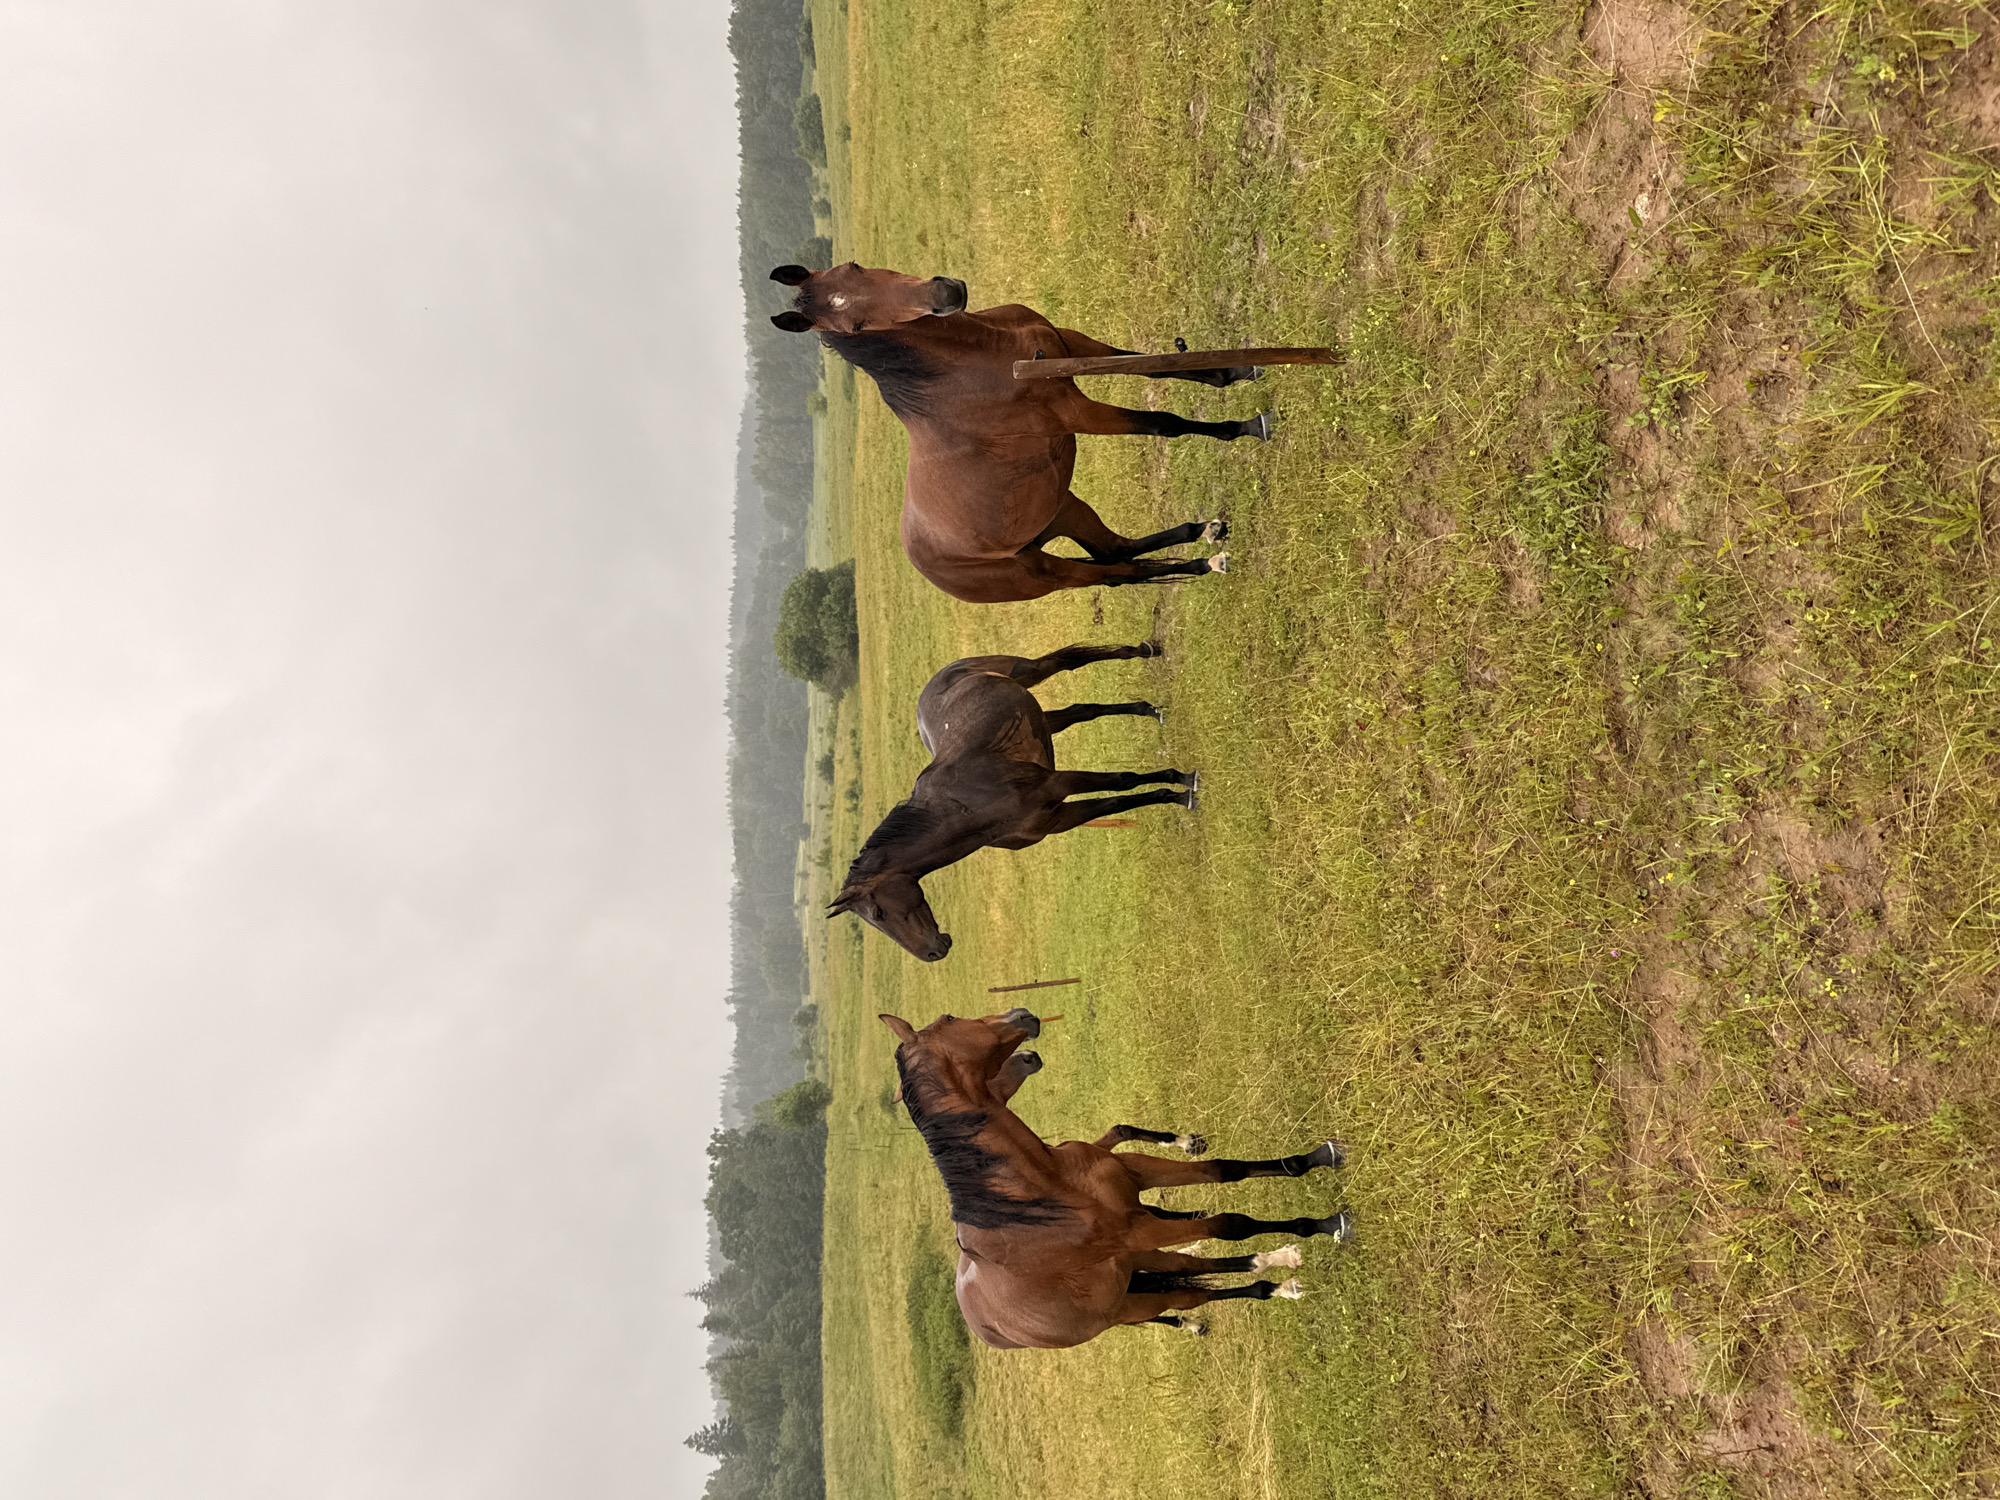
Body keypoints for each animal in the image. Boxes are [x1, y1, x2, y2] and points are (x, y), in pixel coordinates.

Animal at [769, 261, 1268, 603]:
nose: (944, 292)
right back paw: (1206, 559)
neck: (983, 357)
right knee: (1116, 570)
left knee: (1114, 548)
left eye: (852, 266)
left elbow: (1153, 365)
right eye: (856, 325)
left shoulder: (1071, 345)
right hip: (1049, 571)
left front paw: (1235, 371)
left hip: (1063, 508)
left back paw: (1203, 533)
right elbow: (1165, 423)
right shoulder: (1075, 413)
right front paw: (1247, 426)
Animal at [830, 641, 1193, 962]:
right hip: (1044, 719)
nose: (932, 954)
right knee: (1082, 711)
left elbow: (1124, 780)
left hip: (1027, 671)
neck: (968, 809)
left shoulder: (1057, 784)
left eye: (878, 913)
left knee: (1068, 661)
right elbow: (1119, 802)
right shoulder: (1059, 817)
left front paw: (1185, 783)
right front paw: (1177, 794)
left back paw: (1145, 651)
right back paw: (1149, 709)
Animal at [883, 1006, 1352, 1346]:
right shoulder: (1140, 1232)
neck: (1044, 1191)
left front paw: (1319, 1163)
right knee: (1195, 1291)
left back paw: (1273, 1275)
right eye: (948, 1020)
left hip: (1138, 1271)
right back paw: (1265, 1279)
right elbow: (1230, 1225)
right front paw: (1326, 1225)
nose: (1021, 1013)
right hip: (1131, 1303)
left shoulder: (1136, 1177)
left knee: (1194, 1271)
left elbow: (1224, 1171)